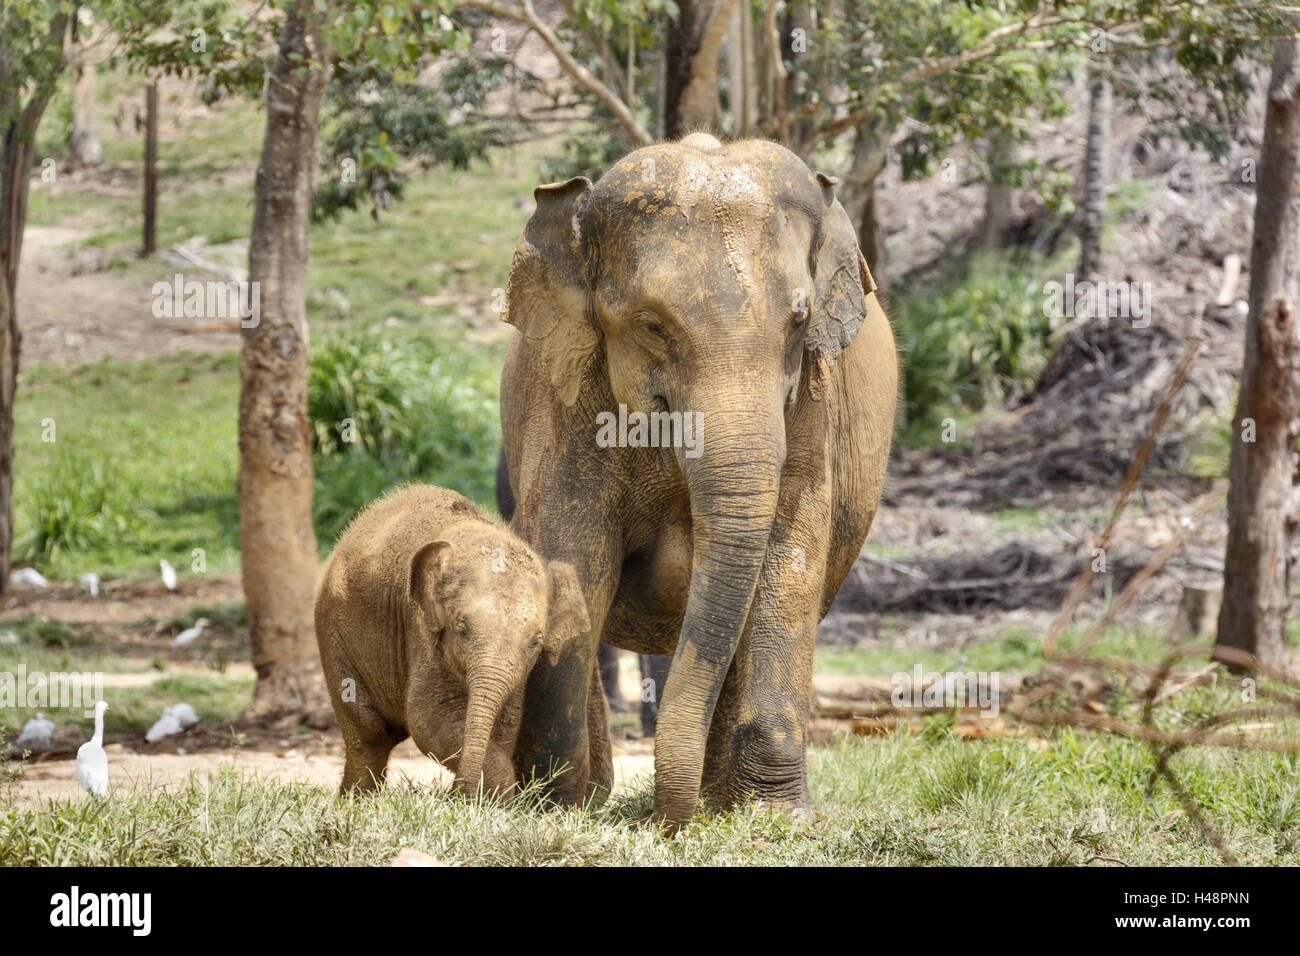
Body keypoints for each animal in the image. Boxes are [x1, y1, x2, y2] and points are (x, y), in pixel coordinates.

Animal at [314, 484, 590, 794]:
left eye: (535, 644)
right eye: (462, 630)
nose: (454, 793)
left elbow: (506, 721)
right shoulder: (421, 629)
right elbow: (428, 719)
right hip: (334, 634)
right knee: (369, 731)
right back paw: (356, 801)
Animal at [498, 132, 898, 826]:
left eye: (799, 321)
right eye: (652, 325)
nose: (664, 822)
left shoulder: (813, 403)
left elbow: (788, 558)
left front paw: (777, 820)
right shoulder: (566, 396)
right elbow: (575, 558)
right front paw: (552, 810)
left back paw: (720, 804)